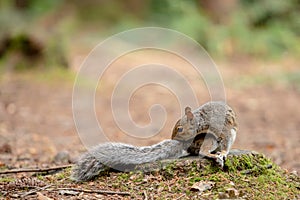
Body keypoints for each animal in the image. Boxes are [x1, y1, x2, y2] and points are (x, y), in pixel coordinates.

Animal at [70, 101, 237, 181]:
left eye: (180, 129)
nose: (173, 139)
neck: (203, 121)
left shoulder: (223, 129)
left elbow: (227, 141)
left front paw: (223, 152)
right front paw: (222, 153)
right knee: (201, 151)